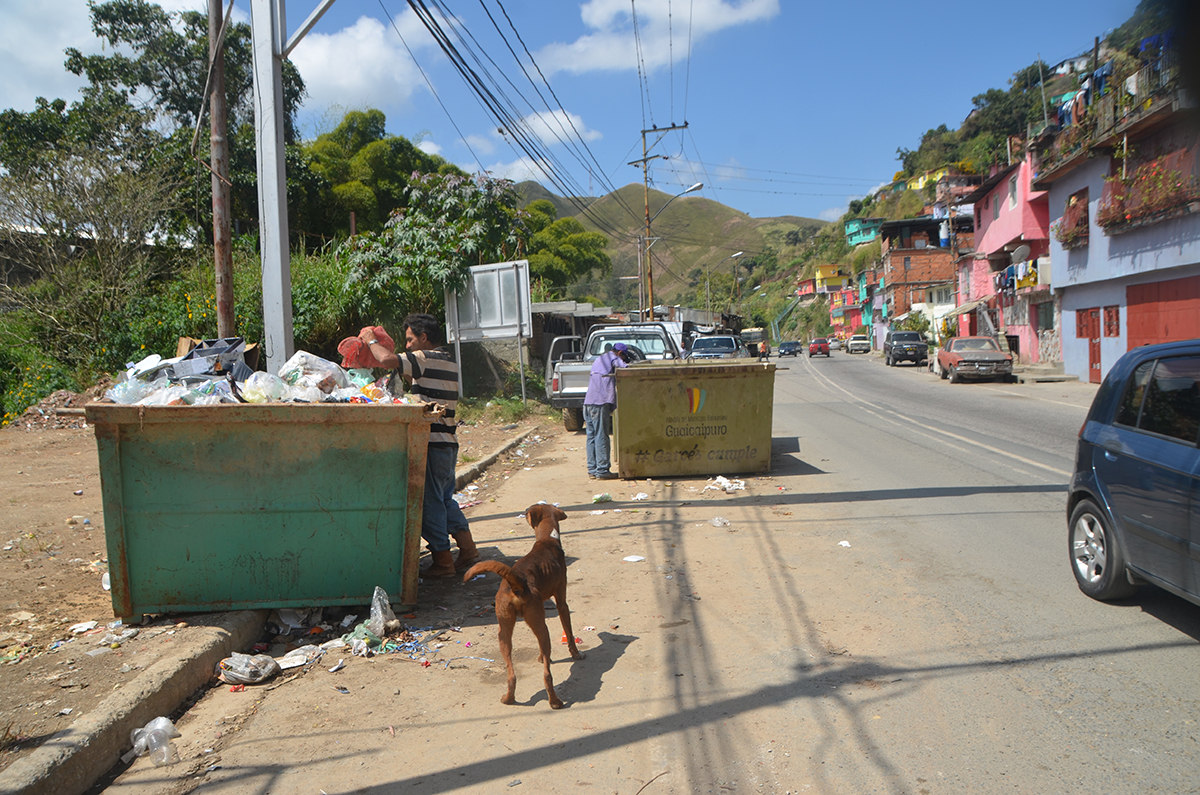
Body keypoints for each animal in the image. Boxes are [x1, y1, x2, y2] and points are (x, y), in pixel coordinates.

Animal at [460, 504, 583, 710]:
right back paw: (555, 702)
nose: (524, 511)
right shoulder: (561, 602)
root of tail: (516, 584)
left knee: (512, 674)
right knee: (547, 675)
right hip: (541, 626)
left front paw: (542, 657)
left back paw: (508, 698)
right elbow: (569, 631)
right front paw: (575, 654)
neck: (547, 540)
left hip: (504, 631)